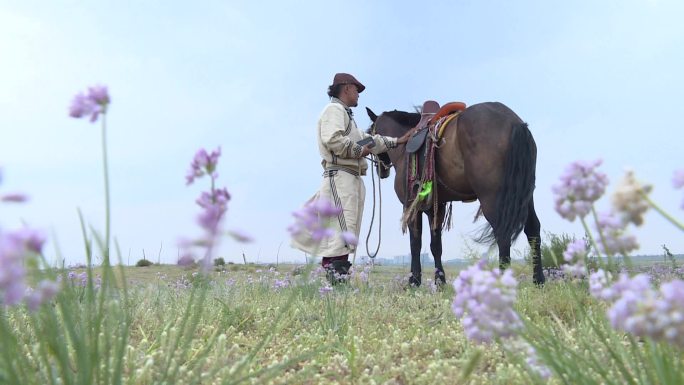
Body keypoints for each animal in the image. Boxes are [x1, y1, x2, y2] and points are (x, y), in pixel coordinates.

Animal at [366, 102, 548, 284]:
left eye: (369, 134)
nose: (381, 170)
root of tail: (514, 122)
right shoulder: (436, 206)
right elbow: (436, 245)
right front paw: (440, 281)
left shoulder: (411, 205)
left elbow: (415, 244)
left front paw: (414, 280)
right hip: (524, 196)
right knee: (533, 229)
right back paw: (538, 280)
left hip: (492, 198)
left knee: (503, 234)